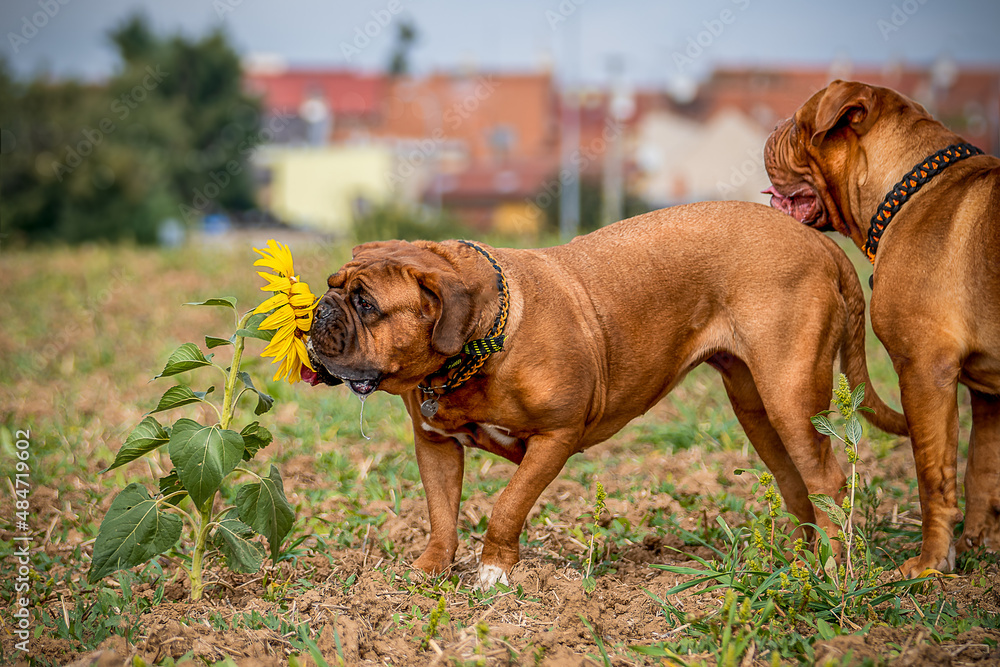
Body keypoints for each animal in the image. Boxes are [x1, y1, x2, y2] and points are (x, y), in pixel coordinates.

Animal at [304, 201, 908, 588]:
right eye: (334, 285)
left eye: (366, 305)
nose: (319, 311)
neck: (480, 344)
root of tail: (819, 243)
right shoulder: (435, 445)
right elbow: (441, 513)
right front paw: (431, 570)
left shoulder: (555, 437)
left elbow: (507, 506)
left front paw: (494, 573)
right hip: (757, 408)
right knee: (797, 482)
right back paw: (803, 561)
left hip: (791, 396)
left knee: (826, 479)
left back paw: (830, 569)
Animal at [764, 79, 1000, 580]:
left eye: (796, 126)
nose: (771, 129)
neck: (910, 190)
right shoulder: (989, 394)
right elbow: (982, 471)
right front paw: (979, 546)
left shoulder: (924, 372)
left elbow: (933, 475)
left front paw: (932, 563)